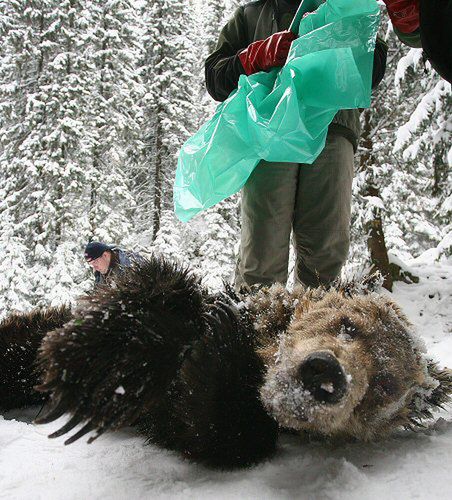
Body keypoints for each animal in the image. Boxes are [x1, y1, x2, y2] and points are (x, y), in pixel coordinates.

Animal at [0, 258, 450, 468]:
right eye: (348, 325)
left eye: (385, 385)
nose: (323, 374)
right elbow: (159, 285)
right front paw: (112, 361)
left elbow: (217, 429)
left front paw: (211, 354)